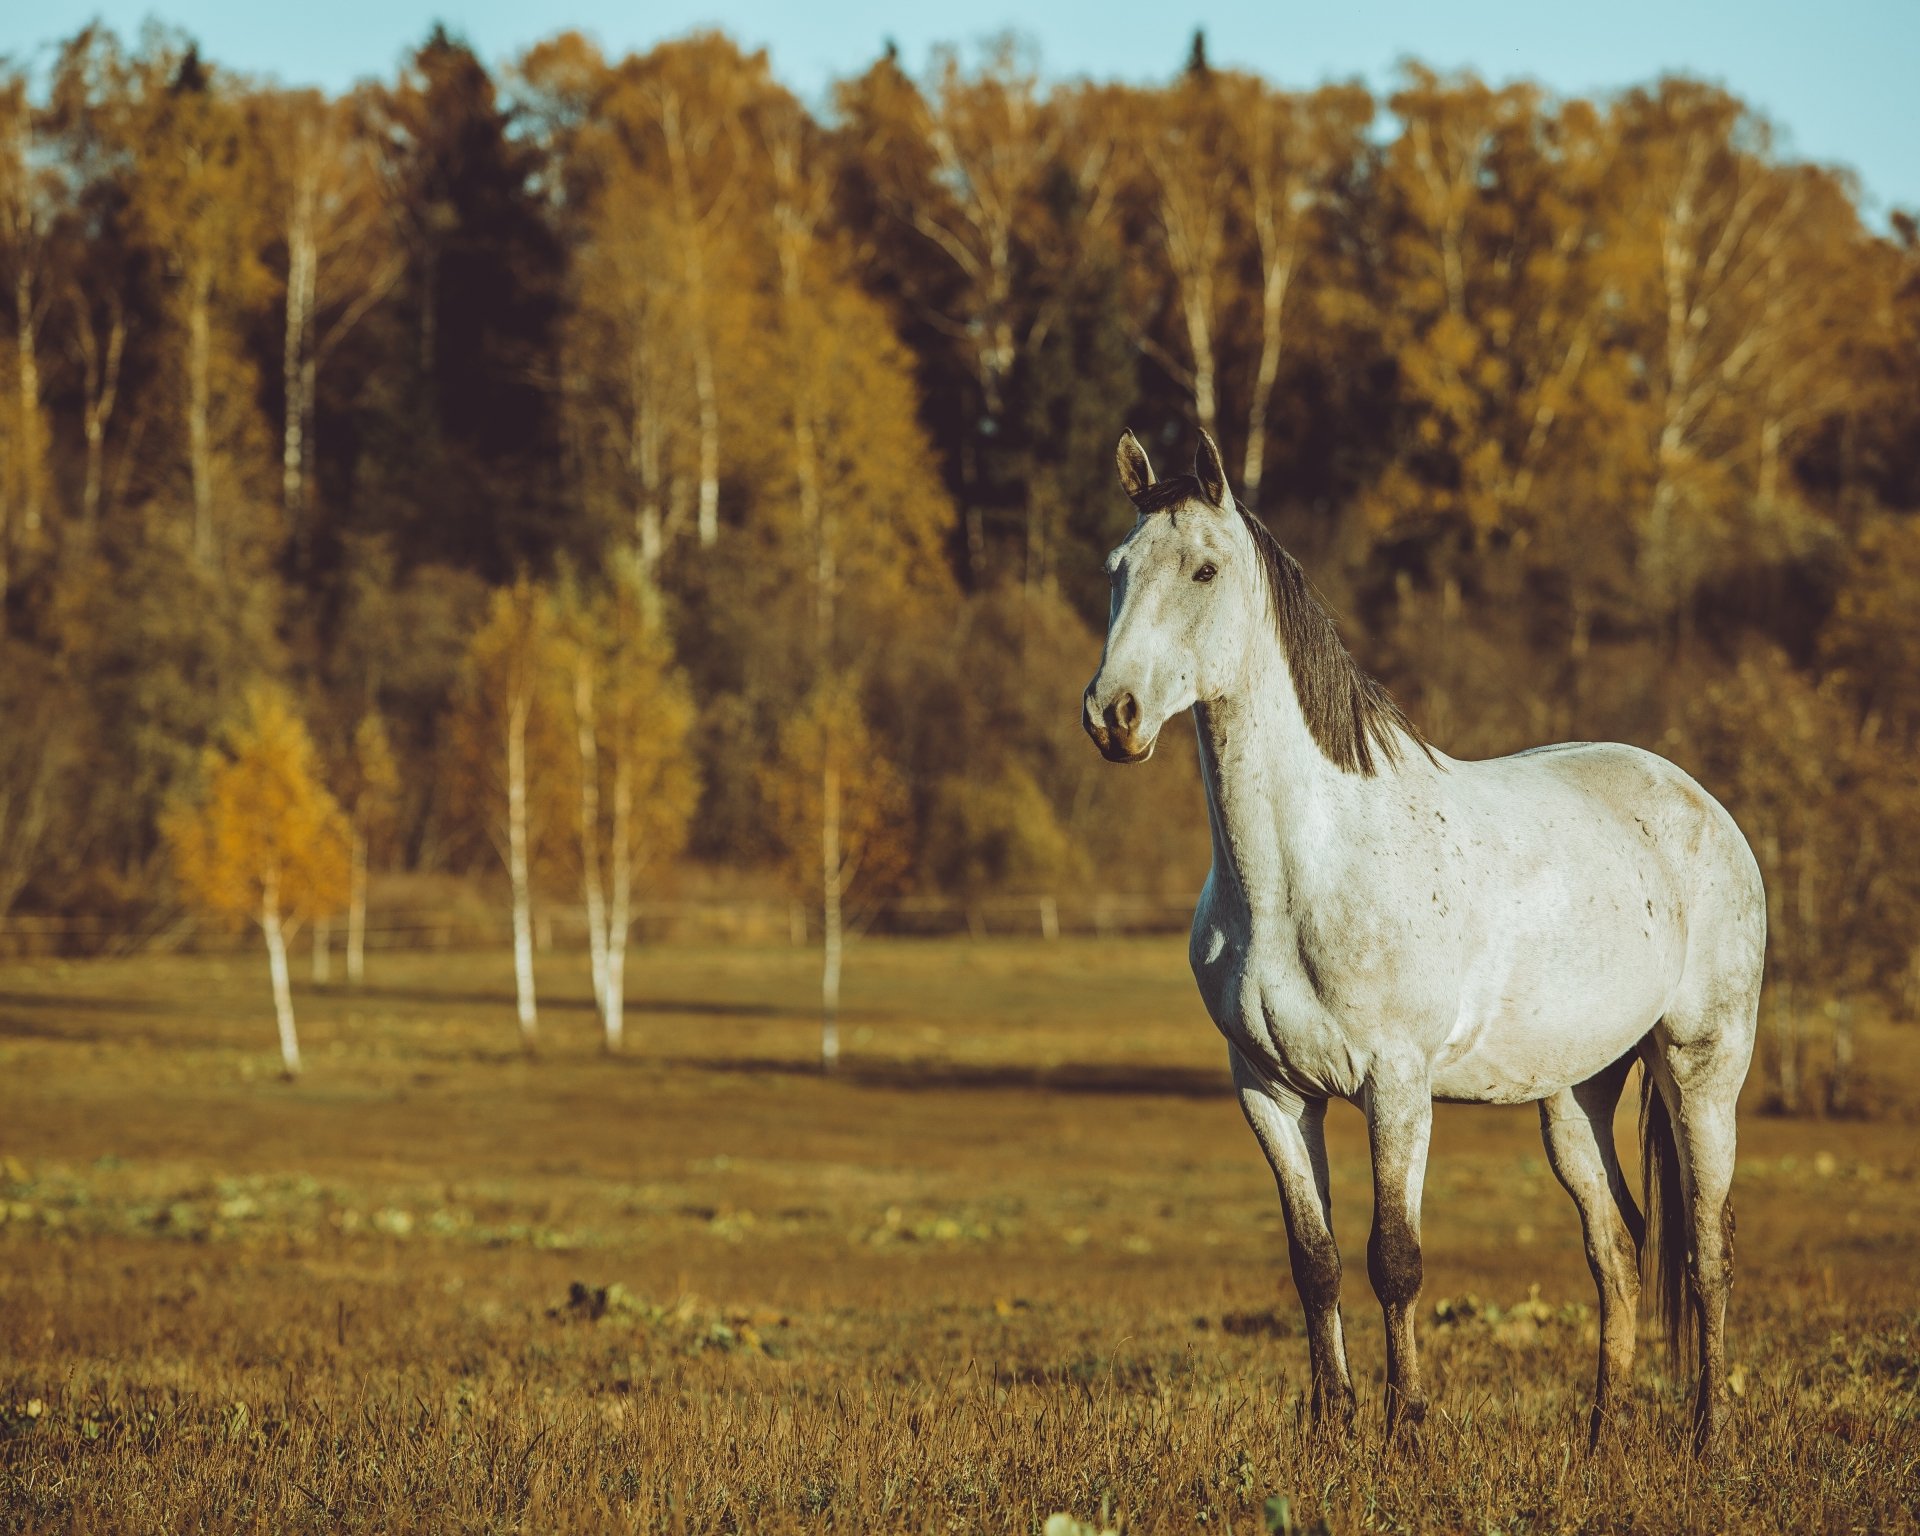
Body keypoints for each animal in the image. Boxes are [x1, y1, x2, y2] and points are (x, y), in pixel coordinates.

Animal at [1082, 429, 1764, 1452]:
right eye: (1117, 569)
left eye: (1204, 569)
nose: (1112, 715)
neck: (1301, 872)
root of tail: (1703, 806)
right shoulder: (1269, 1090)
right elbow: (1315, 1260)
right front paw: (1330, 1430)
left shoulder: (1395, 1084)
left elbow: (1393, 1258)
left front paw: (1405, 1432)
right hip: (1576, 1094)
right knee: (1618, 1244)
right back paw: (1601, 1435)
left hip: (1700, 1066)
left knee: (1707, 1249)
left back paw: (1708, 1435)